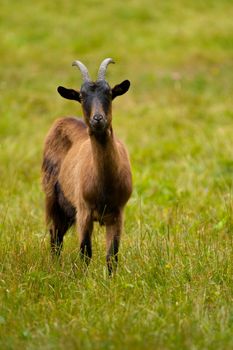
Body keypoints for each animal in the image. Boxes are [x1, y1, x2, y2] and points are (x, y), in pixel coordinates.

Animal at [41, 58, 132, 274]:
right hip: (53, 196)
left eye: (109, 93)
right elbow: (85, 253)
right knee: (55, 236)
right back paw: (55, 268)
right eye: (81, 96)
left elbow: (112, 256)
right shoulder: (84, 211)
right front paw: (83, 280)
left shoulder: (118, 213)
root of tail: (63, 119)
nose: (98, 119)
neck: (105, 185)